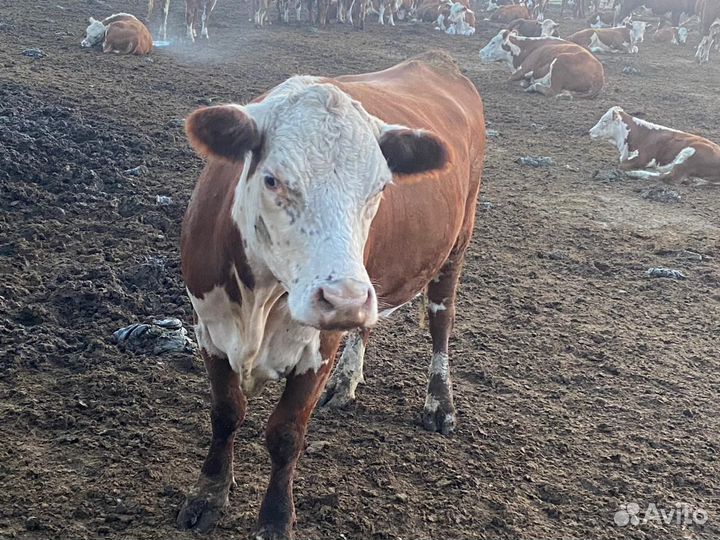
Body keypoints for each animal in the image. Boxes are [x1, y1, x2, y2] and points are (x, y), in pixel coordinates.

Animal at [176, 51, 486, 537]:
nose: (344, 299)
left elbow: (286, 434)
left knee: (440, 320)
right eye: (272, 180)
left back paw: (440, 402)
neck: (258, 304)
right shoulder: (208, 327)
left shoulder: (318, 345)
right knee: (369, 327)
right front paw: (208, 493)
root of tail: (437, 61)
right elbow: (226, 412)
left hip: (455, 244)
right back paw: (346, 381)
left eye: (380, 187)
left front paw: (275, 519)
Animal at [590, 106, 720, 184]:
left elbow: (621, 165)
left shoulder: (643, 158)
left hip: (688, 155)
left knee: (669, 177)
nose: (590, 131)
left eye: (604, 121)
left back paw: (636, 173)